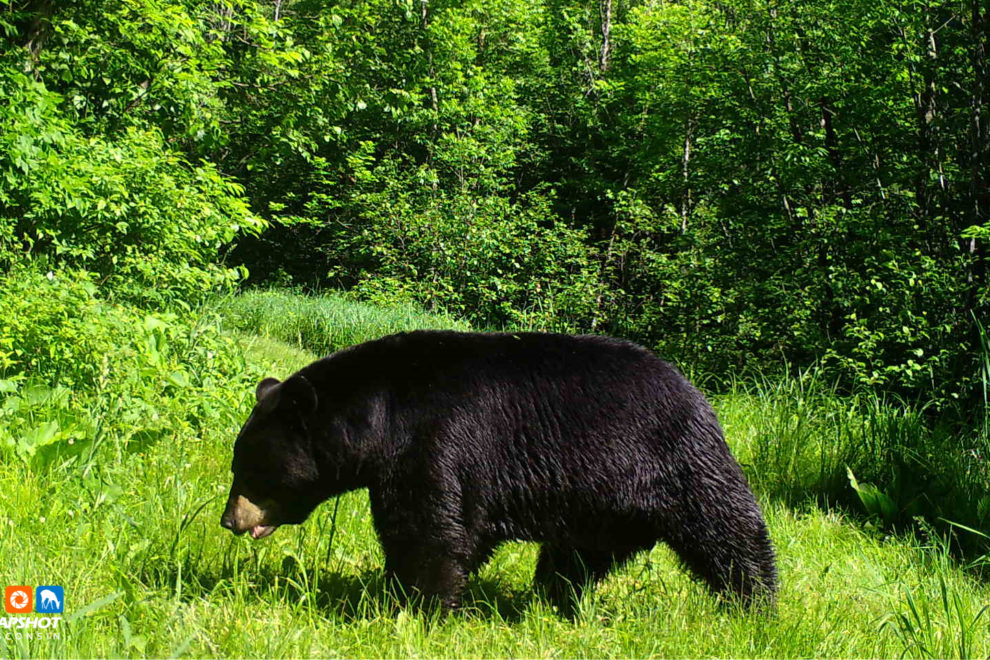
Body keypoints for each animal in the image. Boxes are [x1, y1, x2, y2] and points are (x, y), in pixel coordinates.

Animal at [220, 330, 777, 613]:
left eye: (249, 469)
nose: (229, 519)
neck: (381, 413)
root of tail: (699, 395)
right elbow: (458, 531)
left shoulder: (436, 440)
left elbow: (428, 529)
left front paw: (413, 604)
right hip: (601, 504)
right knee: (576, 557)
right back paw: (552, 600)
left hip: (676, 461)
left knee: (728, 529)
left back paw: (756, 607)